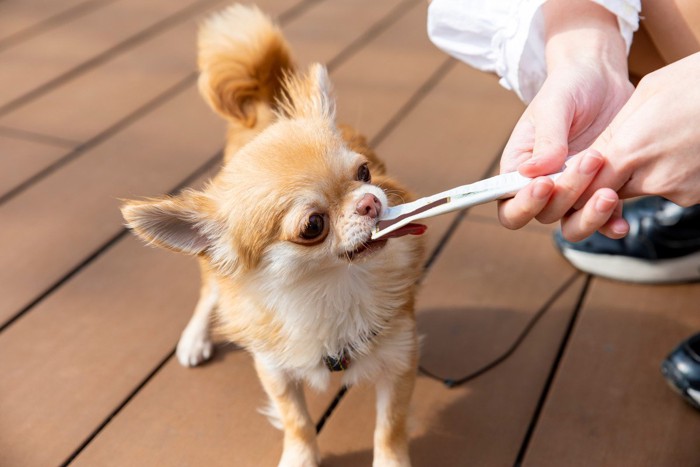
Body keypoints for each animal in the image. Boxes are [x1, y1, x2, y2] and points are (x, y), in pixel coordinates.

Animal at [121, 4, 422, 467]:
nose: (371, 202)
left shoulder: (399, 360)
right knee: (209, 294)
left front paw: (390, 462)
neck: (327, 289)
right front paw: (300, 458)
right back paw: (194, 339)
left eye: (364, 172)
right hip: (215, 271)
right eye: (313, 226)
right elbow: (297, 421)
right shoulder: (275, 370)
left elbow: (389, 427)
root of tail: (264, 110)